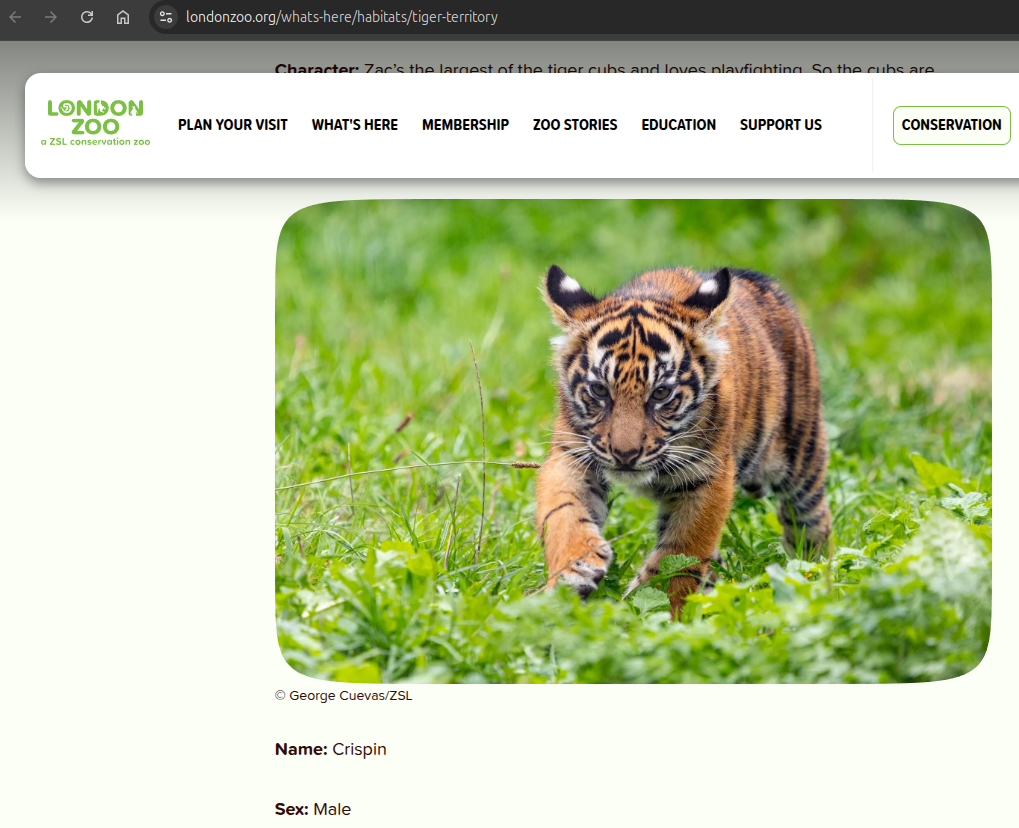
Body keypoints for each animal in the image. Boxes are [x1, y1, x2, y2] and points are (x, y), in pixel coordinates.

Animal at [534, 263, 831, 618]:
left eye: (661, 393)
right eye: (599, 390)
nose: (625, 454)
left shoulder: (708, 477)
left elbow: (683, 553)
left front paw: (659, 612)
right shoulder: (571, 456)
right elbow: (562, 511)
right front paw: (574, 568)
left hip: (802, 457)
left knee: (813, 520)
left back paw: (814, 571)